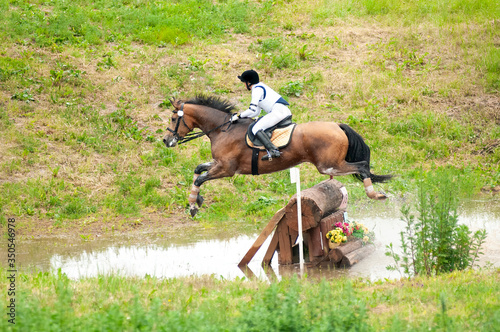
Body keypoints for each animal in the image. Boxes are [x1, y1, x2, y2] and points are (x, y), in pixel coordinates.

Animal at [162, 94, 392, 217]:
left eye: (173, 119)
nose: (166, 140)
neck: (222, 129)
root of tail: (337, 125)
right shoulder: (219, 164)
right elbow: (199, 170)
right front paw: (197, 199)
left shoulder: (227, 169)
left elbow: (200, 177)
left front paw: (193, 205)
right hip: (331, 165)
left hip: (329, 165)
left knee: (361, 166)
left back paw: (375, 195)